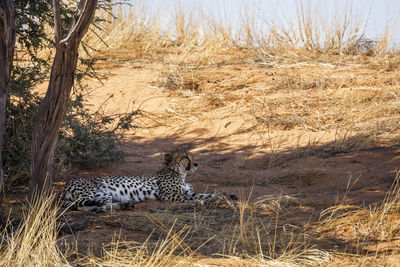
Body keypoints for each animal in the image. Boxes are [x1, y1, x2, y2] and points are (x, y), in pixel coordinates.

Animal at [60, 148, 238, 213]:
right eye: (186, 157)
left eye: (192, 156)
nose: (196, 164)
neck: (179, 173)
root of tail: (64, 185)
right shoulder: (168, 195)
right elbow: (191, 198)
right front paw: (200, 203)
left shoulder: (190, 191)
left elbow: (210, 194)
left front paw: (227, 196)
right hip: (90, 192)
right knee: (81, 206)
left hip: (103, 195)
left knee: (103, 205)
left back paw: (124, 205)